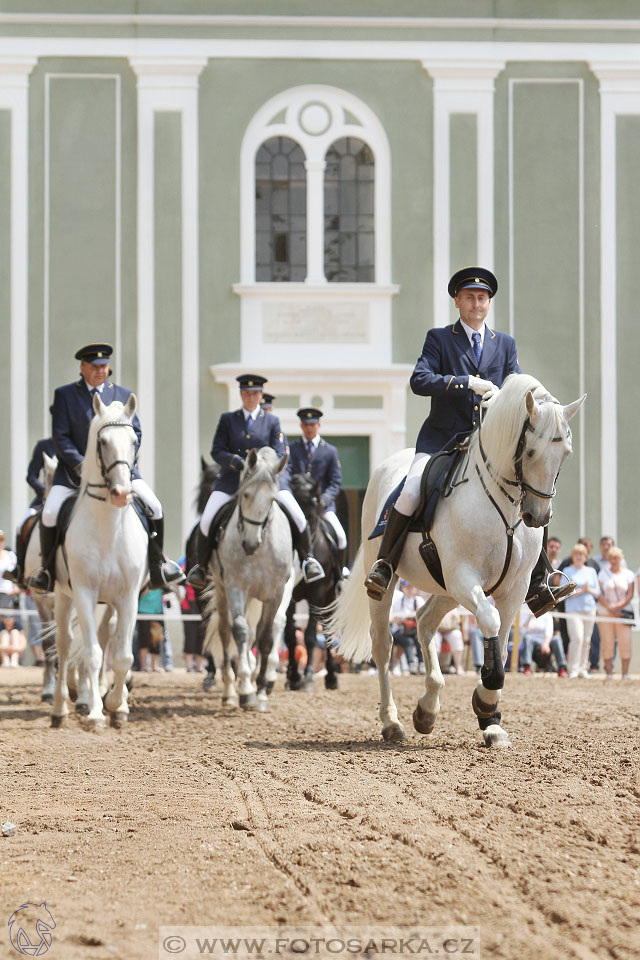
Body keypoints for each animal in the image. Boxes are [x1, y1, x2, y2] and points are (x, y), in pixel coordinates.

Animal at [50, 392, 148, 728]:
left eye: (134, 440)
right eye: (102, 441)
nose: (120, 494)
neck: (109, 527)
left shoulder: (128, 596)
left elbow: (123, 656)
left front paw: (118, 706)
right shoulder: (84, 592)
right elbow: (91, 655)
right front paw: (94, 712)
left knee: (107, 641)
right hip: (63, 597)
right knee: (65, 645)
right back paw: (61, 709)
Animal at [208, 446, 292, 708]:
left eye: (272, 500)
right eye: (245, 495)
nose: (250, 544)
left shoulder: (276, 592)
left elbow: (265, 637)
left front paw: (262, 689)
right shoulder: (236, 587)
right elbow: (240, 631)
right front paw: (246, 689)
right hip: (224, 591)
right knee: (226, 631)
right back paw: (229, 692)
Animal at [284, 472, 344, 688]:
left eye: (315, 502)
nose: (304, 547)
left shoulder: (316, 595)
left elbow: (310, 636)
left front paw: (308, 676)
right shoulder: (291, 597)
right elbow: (290, 635)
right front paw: (294, 675)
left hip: (330, 597)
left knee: (326, 629)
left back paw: (332, 676)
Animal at [330, 376, 584, 752]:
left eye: (565, 453)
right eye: (530, 452)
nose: (537, 517)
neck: (501, 502)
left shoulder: (513, 588)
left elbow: (502, 639)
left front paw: (491, 719)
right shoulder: (464, 576)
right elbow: (490, 622)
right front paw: (486, 703)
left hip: (447, 589)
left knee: (424, 621)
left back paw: (427, 708)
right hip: (397, 582)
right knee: (383, 644)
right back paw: (392, 722)